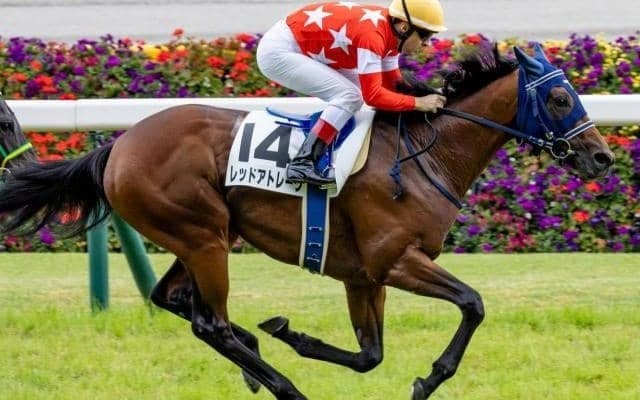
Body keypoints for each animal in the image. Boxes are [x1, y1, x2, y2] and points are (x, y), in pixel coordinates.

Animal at [0, 44, 614, 399]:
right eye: (561, 98)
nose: (603, 157)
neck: (425, 155)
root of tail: (118, 145)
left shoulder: (361, 275)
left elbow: (369, 355)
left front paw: (289, 333)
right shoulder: (395, 261)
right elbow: (473, 303)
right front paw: (428, 378)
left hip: (203, 234)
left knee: (175, 300)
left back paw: (256, 357)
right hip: (202, 235)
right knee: (209, 322)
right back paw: (284, 386)